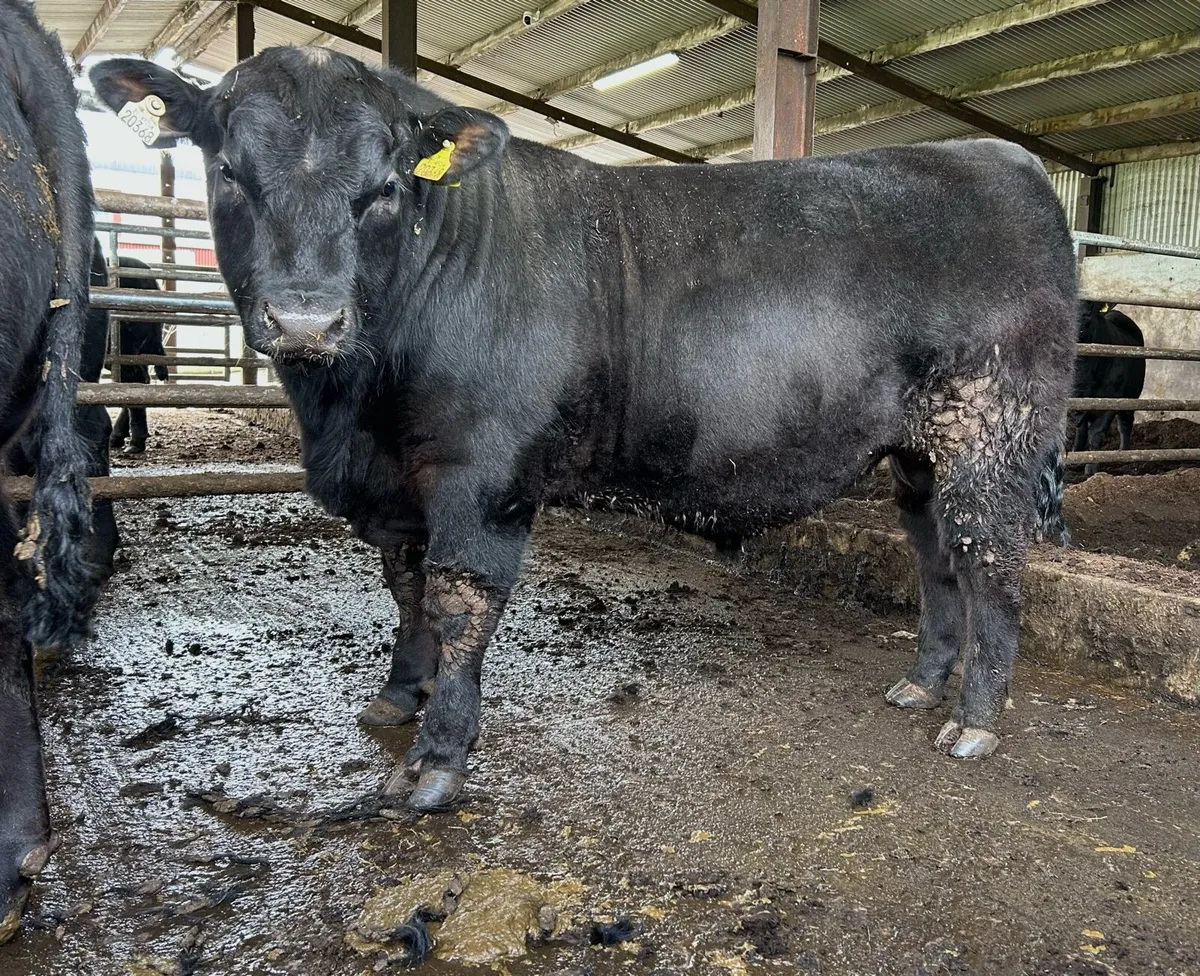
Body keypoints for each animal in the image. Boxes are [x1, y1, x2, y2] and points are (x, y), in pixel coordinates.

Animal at [91, 47, 1077, 813]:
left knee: (993, 567)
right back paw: (922, 683)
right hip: (919, 453)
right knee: (935, 557)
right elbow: (406, 591)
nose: (305, 318)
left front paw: (438, 760)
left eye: (385, 187)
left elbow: (457, 604)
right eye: (228, 170)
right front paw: (398, 697)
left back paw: (973, 722)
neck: (350, 419)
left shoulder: (480, 477)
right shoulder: (400, 487)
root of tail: (1001, 160)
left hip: (993, 436)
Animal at [1072, 301, 1145, 476]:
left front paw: (1091, 470)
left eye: (1088, 314)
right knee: (1082, 429)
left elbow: (1096, 434)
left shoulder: (1111, 398)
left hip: (1131, 396)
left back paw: (1123, 453)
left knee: (1125, 423)